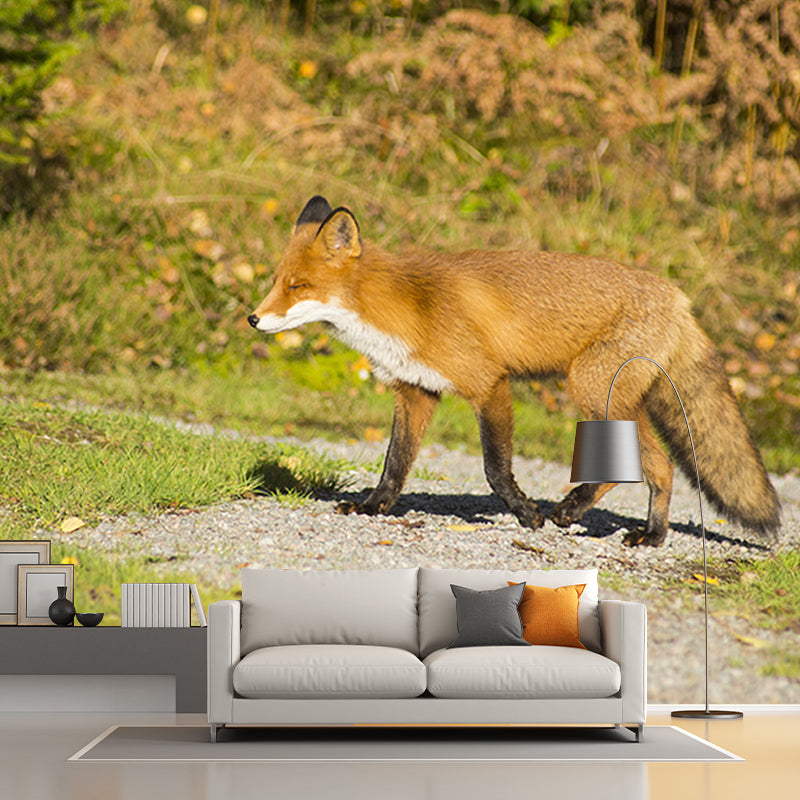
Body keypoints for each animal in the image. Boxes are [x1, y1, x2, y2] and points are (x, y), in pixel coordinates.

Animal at [248, 196, 781, 547]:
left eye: (298, 286)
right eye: (276, 282)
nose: (253, 318)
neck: (406, 308)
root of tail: (679, 297)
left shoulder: (489, 384)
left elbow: (495, 467)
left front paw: (527, 515)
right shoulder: (415, 391)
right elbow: (394, 464)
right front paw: (373, 507)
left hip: (592, 389)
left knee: (655, 465)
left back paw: (610, 523)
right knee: (658, 466)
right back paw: (640, 528)